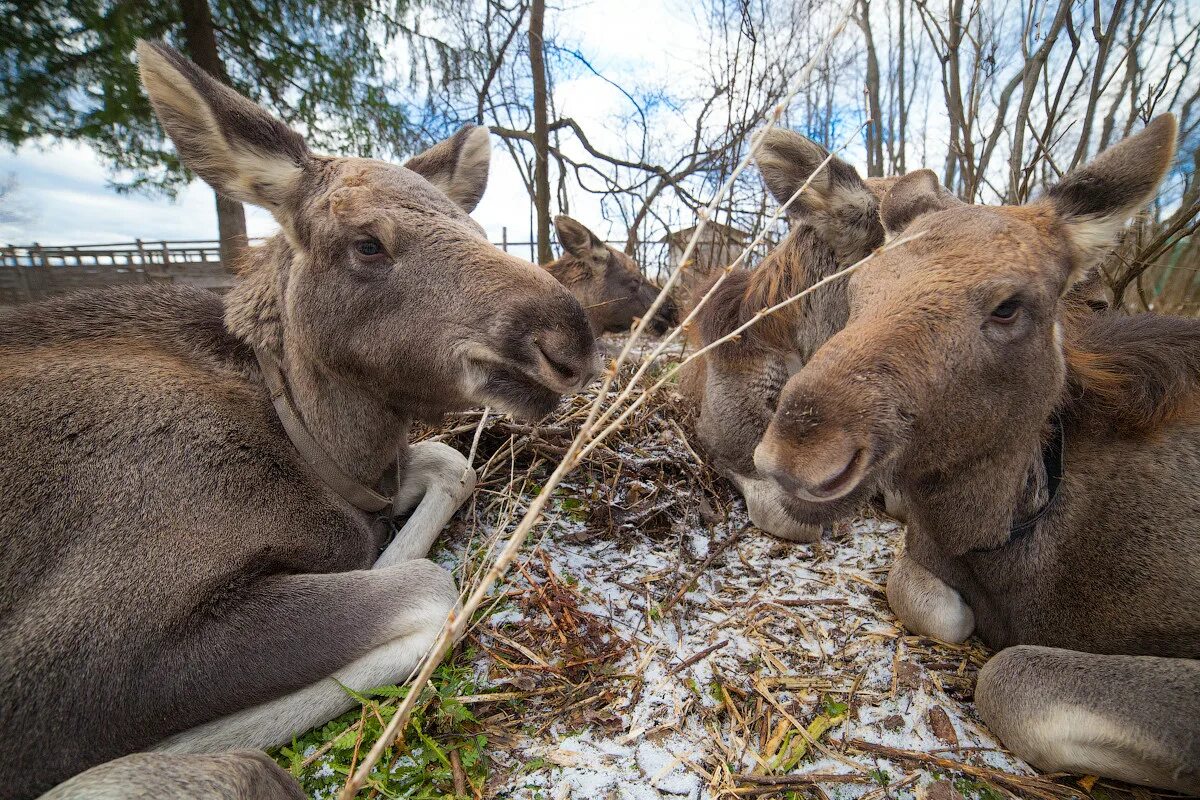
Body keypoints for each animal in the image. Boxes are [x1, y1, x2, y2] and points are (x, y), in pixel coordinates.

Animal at [0, 43, 597, 800]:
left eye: (480, 231)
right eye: (368, 243)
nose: (569, 339)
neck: (311, 445)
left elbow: (448, 468)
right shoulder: (72, 662)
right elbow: (429, 590)